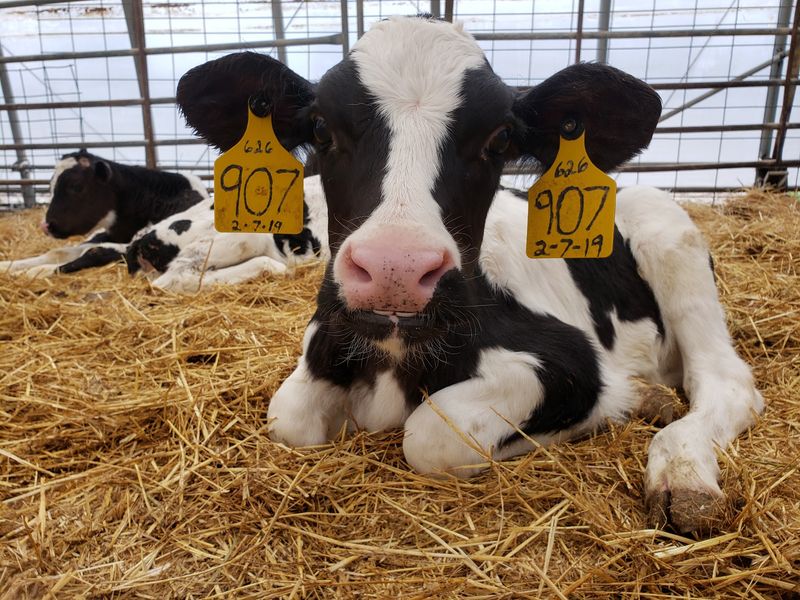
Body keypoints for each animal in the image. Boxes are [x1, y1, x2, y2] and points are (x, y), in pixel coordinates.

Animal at [0, 150, 208, 276]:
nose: (46, 226)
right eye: (50, 185)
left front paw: (32, 272)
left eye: (76, 186)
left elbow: (93, 252)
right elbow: (58, 251)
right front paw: (8, 267)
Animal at [175, 16, 763, 534]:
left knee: (725, 380)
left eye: (499, 138)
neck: (396, 357)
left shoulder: (571, 361)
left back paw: (683, 475)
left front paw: (603, 411)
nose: (395, 268)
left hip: (671, 238)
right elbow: (289, 416)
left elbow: (432, 433)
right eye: (321, 126)